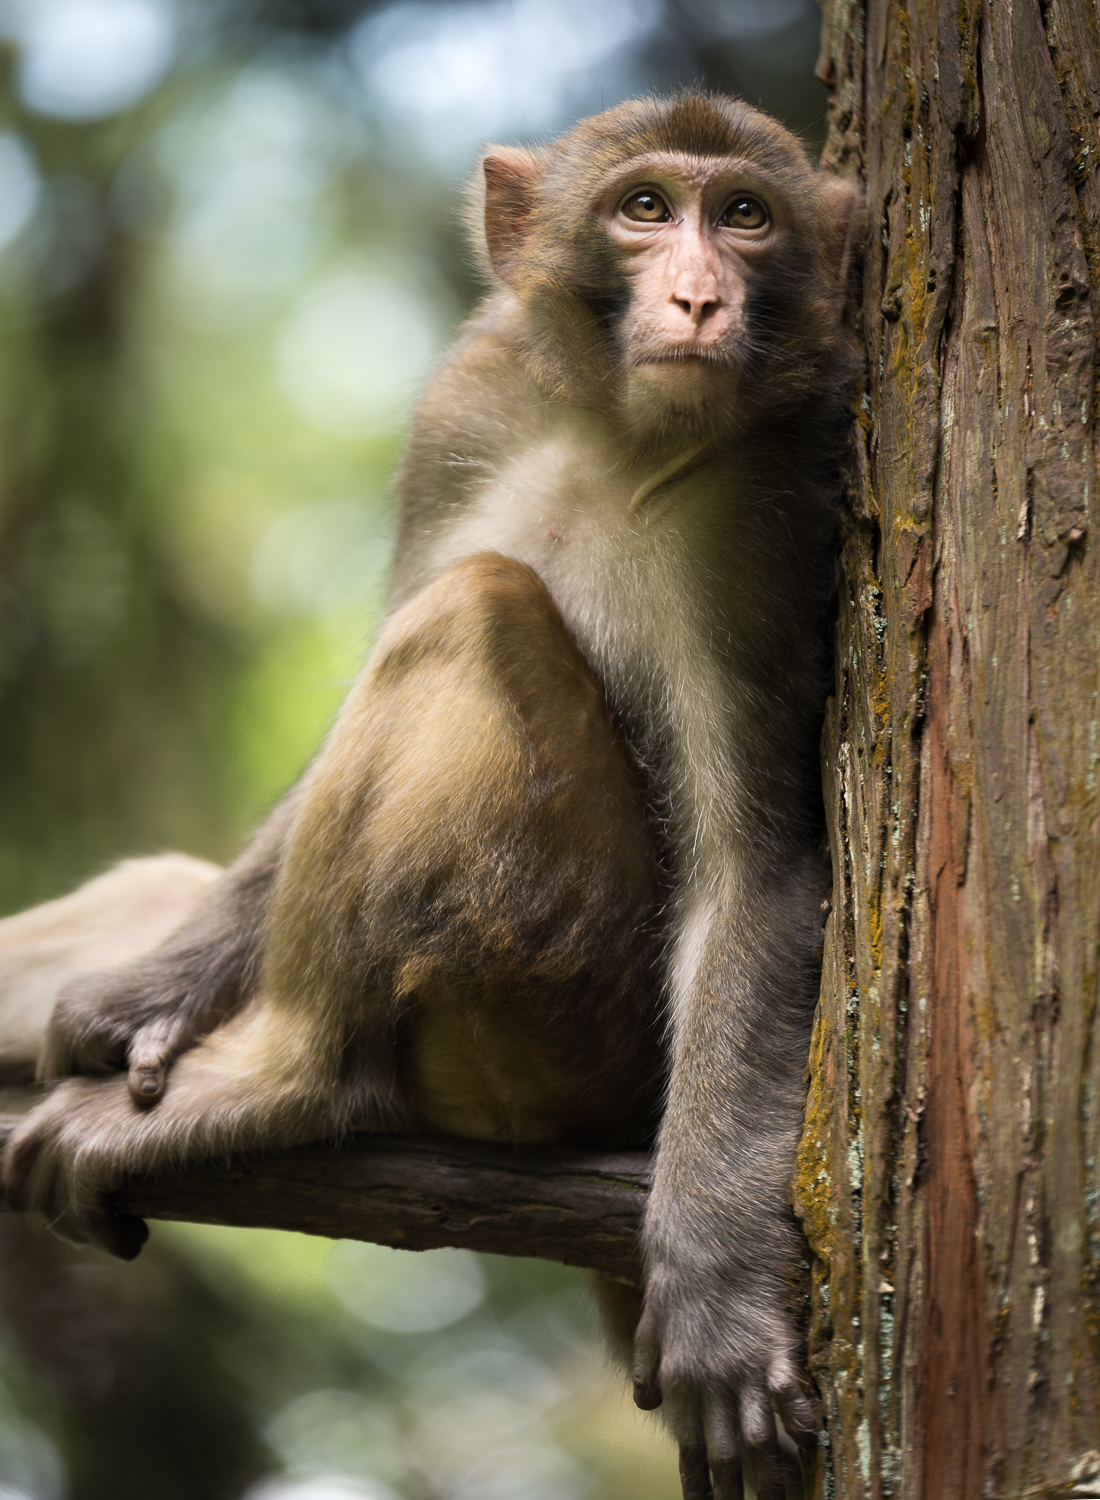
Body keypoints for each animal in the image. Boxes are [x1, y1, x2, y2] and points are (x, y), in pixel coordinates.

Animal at [0, 93, 860, 1500]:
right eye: (643, 209)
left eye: (744, 216)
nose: (696, 297)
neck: (607, 428)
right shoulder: (467, 407)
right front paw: (142, 998)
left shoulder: (770, 506)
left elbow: (755, 872)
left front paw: (717, 1295)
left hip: (551, 1015)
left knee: (474, 613)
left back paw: (289, 1083)